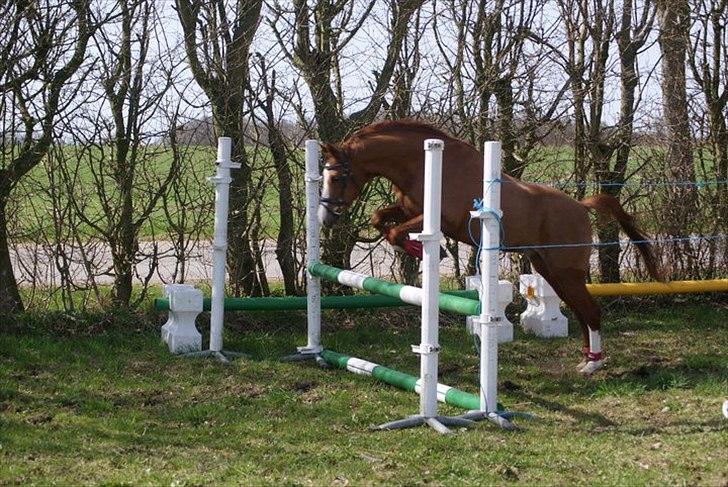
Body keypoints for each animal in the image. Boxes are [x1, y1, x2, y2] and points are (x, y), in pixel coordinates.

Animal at [318, 121, 660, 374]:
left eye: (335, 177)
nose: (325, 217)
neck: (418, 164)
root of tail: (580, 206)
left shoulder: (438, 219)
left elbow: (394, 233)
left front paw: (428, 250)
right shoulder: (406, 209)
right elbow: (380, 219)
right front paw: (418, 248)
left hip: (566, 271)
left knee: (590, 310)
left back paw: (593, 365)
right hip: (550, 270)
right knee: (580, 311)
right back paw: (587, 358)